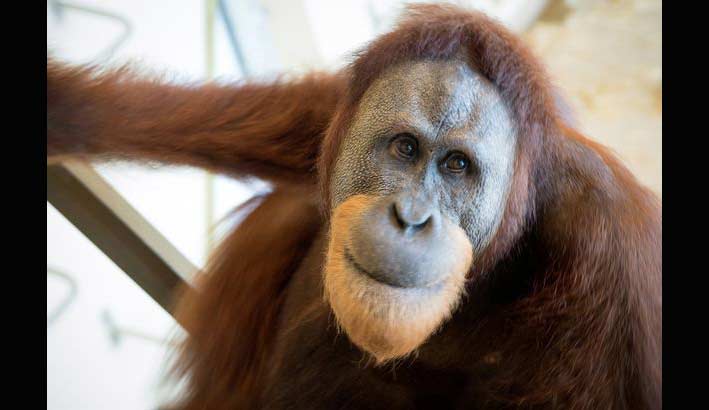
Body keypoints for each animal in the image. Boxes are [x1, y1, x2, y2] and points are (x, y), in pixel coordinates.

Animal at [47, 4, 661, 409]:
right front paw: (65, 107)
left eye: (456, 166)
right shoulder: (335, 112)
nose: (411, 218)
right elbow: (249, 118)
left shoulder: (615, 259)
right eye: (406, 148)